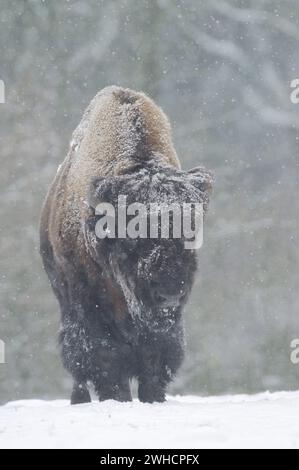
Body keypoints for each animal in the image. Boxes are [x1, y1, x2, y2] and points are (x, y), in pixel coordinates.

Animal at [39, 85, 213, 404]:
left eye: (191, 230)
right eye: (132, 234)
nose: (169, 291)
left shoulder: (165, 326)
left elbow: (155, 360)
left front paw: (153, 398)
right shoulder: (89, 305)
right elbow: (105, 359)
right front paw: (117, 398)